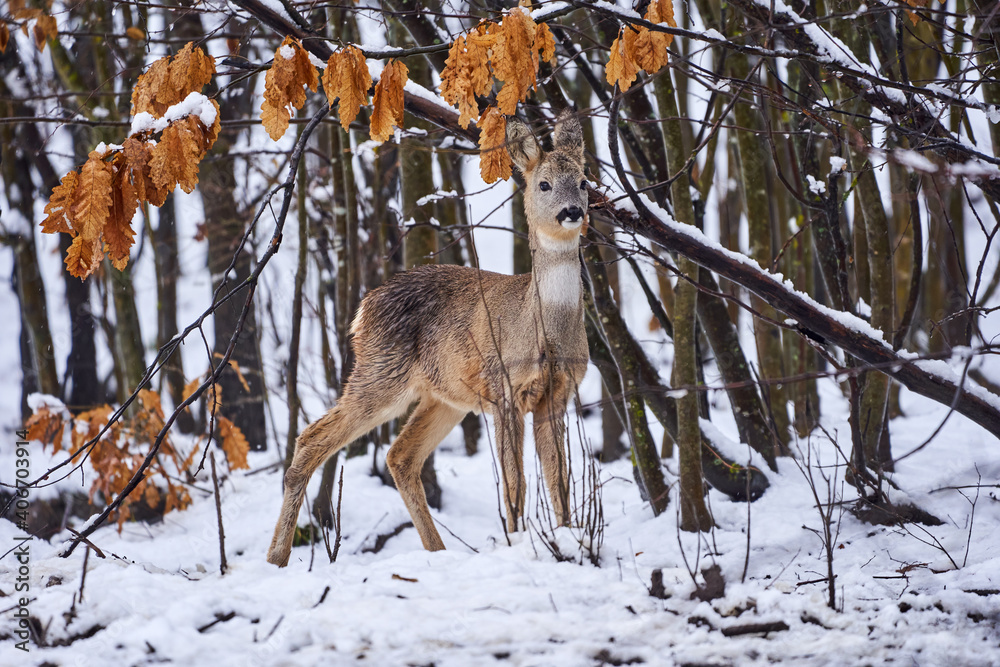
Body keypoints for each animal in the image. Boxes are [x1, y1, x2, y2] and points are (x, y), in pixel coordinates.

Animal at [267, 111, 590, 566]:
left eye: (583, 180)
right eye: (543, 184)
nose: (572, 212)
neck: (543, 331)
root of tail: (362, 310)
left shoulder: (557, 394)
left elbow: (558, 479)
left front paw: (566, 537)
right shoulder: (504, 389)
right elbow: (516, 484)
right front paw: (519, 541)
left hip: (444, 396)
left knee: (399, 455)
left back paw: (437, 552)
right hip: (381, 374)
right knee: (313, 438)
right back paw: (277, 556)